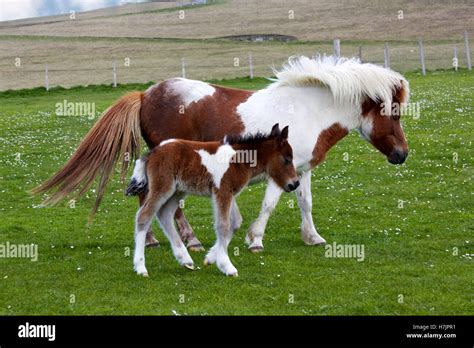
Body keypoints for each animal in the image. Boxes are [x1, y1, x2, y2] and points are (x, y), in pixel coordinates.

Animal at [34, 55, 408, 253]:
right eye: (394, 113)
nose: (402, 154)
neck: (307, 109)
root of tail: (146, 94)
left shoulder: (301, 169)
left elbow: (305, 202)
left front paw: (312, 237)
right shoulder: (279, 170)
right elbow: (269, 204)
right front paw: (255, 239)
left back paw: (155, 239)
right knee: (163, 203)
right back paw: (189, 241)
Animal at [124, 123, 298, 276]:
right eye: (287, 159)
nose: (295, 184)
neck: (239, 160)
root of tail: (152, 152)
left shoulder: (228, 193)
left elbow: (235, 223)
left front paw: (210, 258)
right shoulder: (223, 191)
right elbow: (223, 225)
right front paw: (227, 266)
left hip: (178, 191)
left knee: (164, 214)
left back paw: (185, 259)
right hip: (163, 188)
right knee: (144, 216)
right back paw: (141, 267)